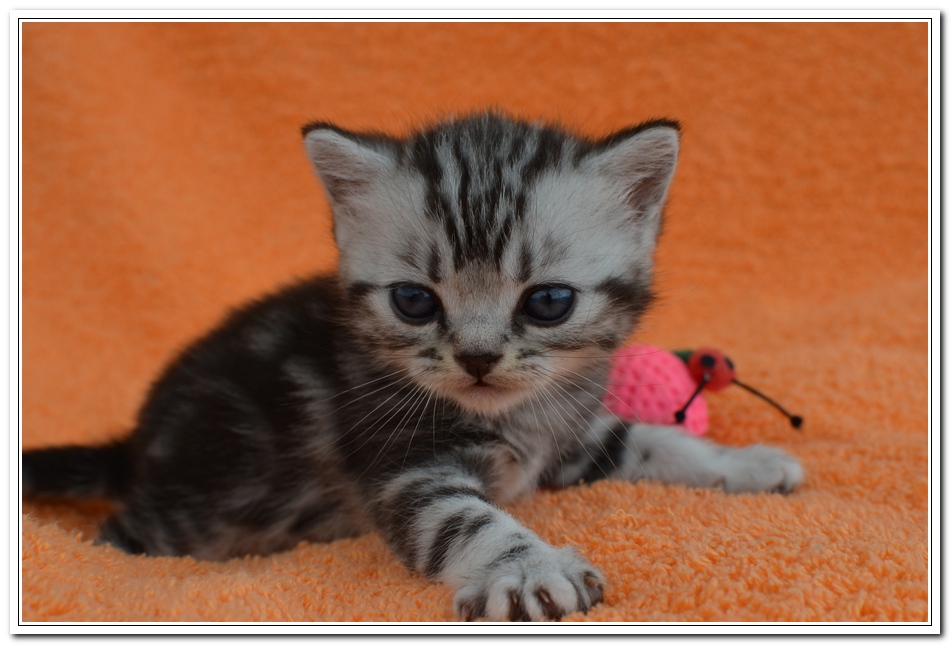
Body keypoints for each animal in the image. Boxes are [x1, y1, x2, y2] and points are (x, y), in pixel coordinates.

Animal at [23, 113, 803, 621]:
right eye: (414, 301)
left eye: (548, 302)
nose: (478, 357)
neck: (514, 418)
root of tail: (134, 448)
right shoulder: (403, 465)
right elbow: (464, 518)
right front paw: (528, 566)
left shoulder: (569, 433)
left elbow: (650, 439)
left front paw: (745, 462)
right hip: (187, 520)